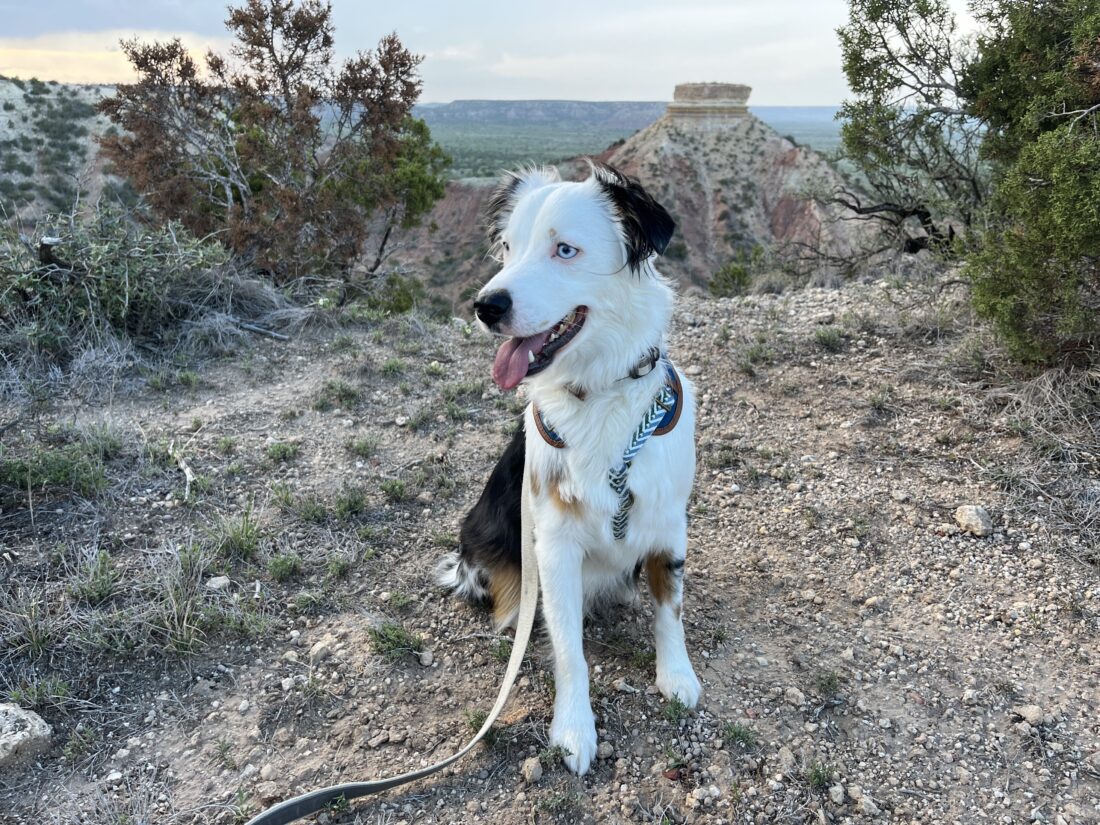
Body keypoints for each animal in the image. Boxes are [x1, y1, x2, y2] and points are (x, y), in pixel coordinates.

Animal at [435, 159, 699, 774]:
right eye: (507, 248)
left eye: (565, 250)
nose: (486, 306)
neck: (600, 396)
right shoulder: (553, 545)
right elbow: (569, 649)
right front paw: (574, 730)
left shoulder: (668, 523)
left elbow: (670, 610)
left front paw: (676, 675)